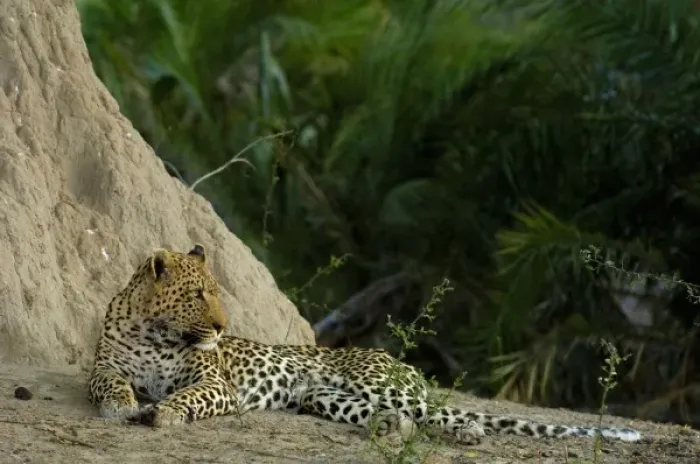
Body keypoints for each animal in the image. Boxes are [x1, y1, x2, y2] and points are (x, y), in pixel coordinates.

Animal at [89, 245, 642, 445]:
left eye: (217, 293)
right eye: (197, 296)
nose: (223, 328)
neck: (153, 331)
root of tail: (394, 361)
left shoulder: (214, 383)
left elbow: (188, 395)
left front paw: (163, 413)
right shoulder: (104, 367)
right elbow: (110, 386)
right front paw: (124, 408)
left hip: (378, 382)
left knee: (442, 412)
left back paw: (468, 433)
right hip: (325, 396)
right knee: (406, 418)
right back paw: (393, 429)